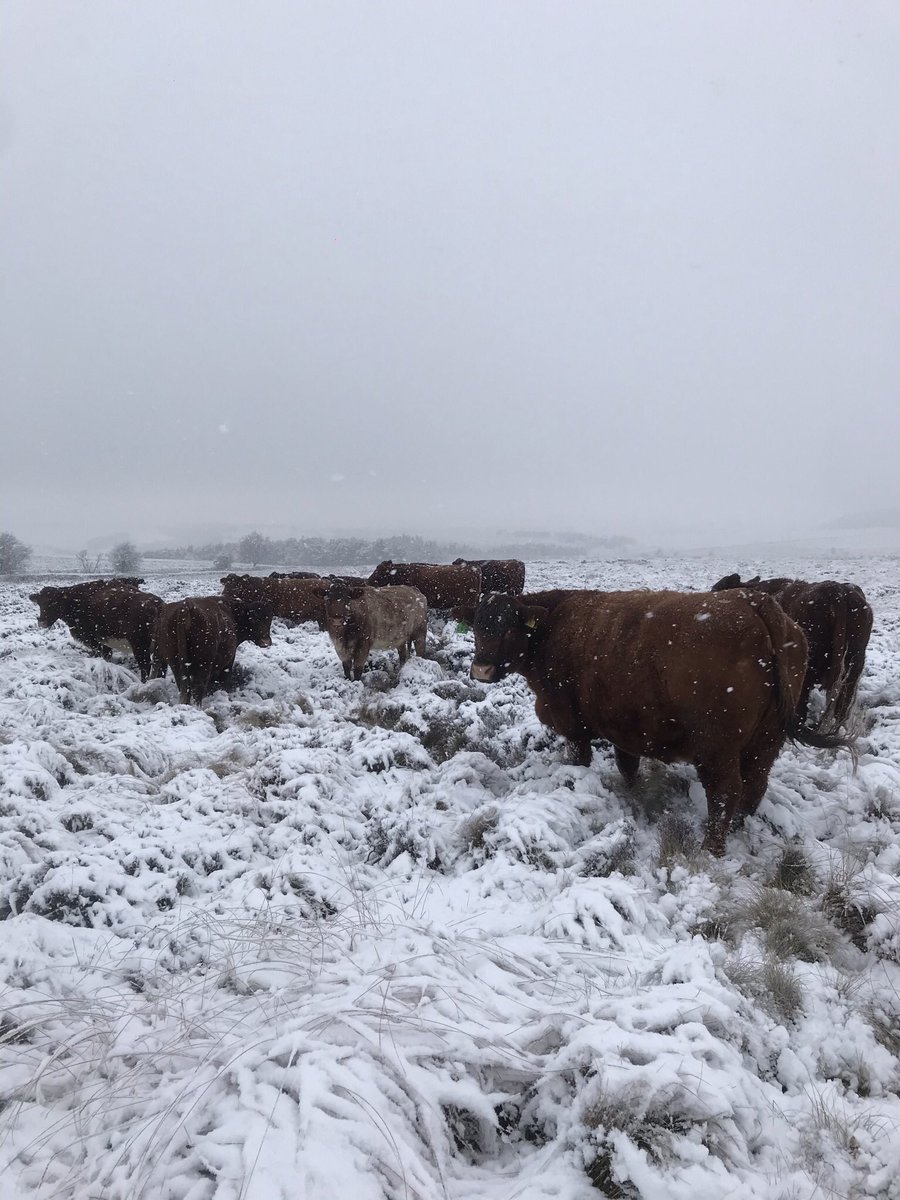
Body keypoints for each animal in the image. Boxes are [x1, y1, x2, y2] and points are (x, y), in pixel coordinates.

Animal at [29, 580, 162, 681]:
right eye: (40, 603)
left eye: (54, 603)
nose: (42, 622)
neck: (77, 600)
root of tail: (157, 604)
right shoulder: (105, 641)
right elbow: (107, 656)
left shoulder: (94, 639)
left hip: (140, 647)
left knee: (145, 666)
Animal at [469, 589, 853, 856]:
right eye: (475, 627)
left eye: (507, 627)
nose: (481, 670)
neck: (552, 628)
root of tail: (754, 601)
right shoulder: (623, 728)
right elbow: (627, 768)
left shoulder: (573, 725)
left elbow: (581, 762)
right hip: (766, 741)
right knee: (754, 786)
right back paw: (738, 829)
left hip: (716, 747)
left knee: (726, 792)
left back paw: (710, 850)